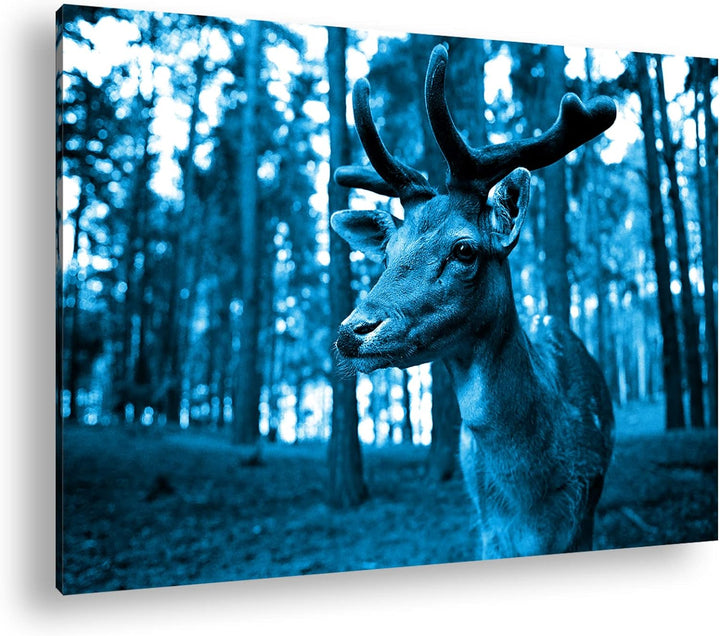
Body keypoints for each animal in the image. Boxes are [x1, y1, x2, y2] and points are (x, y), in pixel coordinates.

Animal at [330, 44, 617, 559]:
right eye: (387, 253)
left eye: (464, 249)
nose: (352, 331)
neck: (531, 516)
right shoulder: (487, 532)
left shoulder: (584, 519)